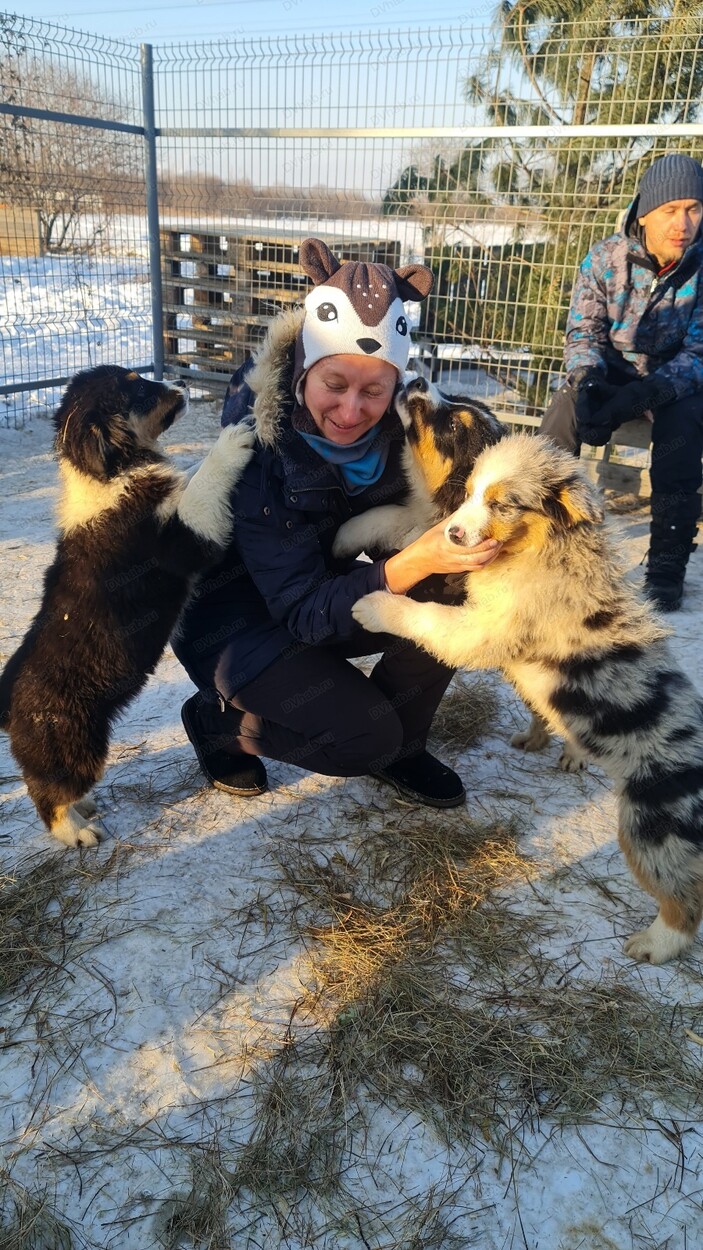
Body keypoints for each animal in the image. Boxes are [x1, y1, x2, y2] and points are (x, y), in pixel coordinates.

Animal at [0, 365, 254, 848]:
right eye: (139, 391)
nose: (182, 384)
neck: (110, 477)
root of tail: (9, 705)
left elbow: (190, 476)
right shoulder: (184, 539)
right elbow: (205, 480)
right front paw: (232, 439)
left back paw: (83, 810)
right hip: (75, 744)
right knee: (48, 793)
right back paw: (76, 832)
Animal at [353, 431, 703, 965]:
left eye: (503, 503)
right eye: (469, 493)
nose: (453, 534)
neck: (543, 552)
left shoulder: (479, 630)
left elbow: (425, 616)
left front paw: (372, 605)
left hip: (654, 830)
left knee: (685, 902)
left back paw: (651, 945)